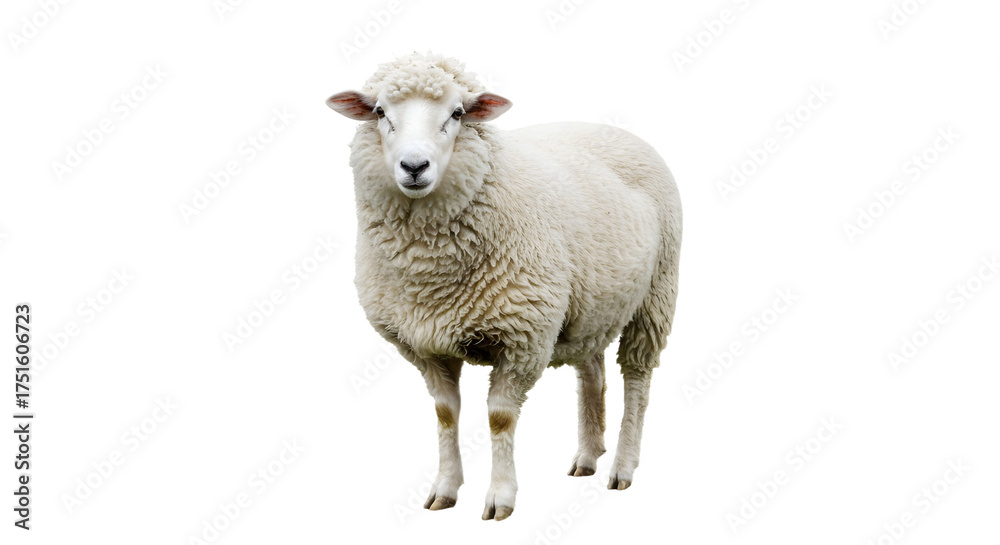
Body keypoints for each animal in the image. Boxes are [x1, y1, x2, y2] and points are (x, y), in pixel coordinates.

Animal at [326, 53, 682, 521]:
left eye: (458, 114)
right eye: (380, 112)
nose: (414, 167)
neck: (428, 276)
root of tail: (612, 129)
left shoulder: (523, 337)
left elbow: (499, 419)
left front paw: (500, 497)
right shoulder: (425, 343)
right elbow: (445, 414)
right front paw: (445, 489)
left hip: (656, 294)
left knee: (637, 380)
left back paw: (622, 466)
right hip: (589, 304)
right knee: (592, 372)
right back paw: (588, 457)